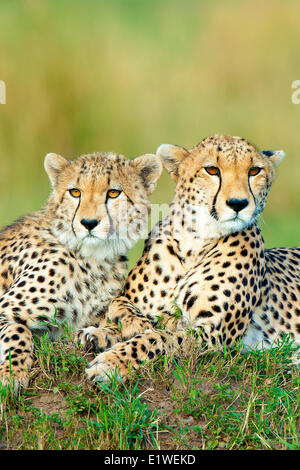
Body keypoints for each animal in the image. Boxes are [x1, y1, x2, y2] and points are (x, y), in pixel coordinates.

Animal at [0, 149, 162, 392]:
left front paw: (131, 322)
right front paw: (11, 373)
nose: (89, 223)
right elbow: (19, 331)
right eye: (75, 192)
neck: (94, 259)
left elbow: (115, 307)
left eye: (113, 193)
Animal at [78, 133, 300, 382]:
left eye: (254, 171)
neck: (195, 242)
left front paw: (111, 362)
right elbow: (122, 306)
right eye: (212, 170)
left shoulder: (214, 334)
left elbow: (157, 338)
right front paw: (103, 331)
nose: (238, 203)